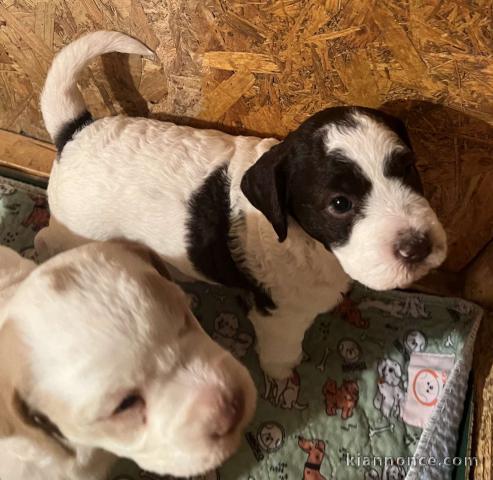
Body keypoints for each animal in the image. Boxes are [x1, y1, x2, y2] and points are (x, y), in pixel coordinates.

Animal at [37, 31, 446, 380]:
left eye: (408, 169)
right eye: (340, 203)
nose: (418, 247)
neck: (305, 240)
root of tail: (75, 132)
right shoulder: (279, 315)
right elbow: (282, 348)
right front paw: (284, 373)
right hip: (75, 231)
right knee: (48, 239)